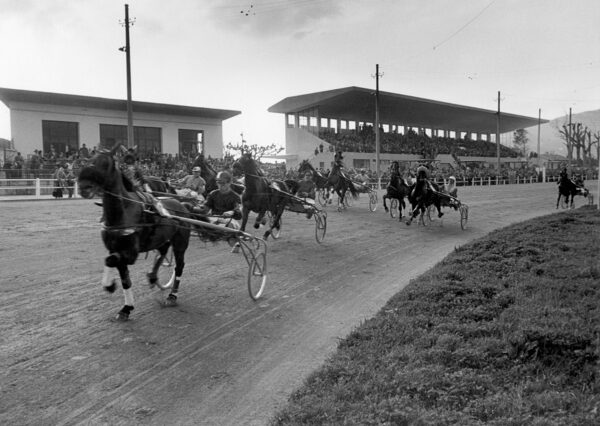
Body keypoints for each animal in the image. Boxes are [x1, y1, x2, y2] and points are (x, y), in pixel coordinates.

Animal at [77, 144, 190, 320]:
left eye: (105, 163)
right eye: (88, 160)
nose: (84, 187)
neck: (124, 212)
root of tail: (181, 205)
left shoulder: (131, 253)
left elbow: (111, 260)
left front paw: (110, 285)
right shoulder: (114, 247)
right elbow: (122, 277)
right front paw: (126, 307)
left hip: (180, 243)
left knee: (179, 267)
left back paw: (172, 296)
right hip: (162, 239)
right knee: (163, 250)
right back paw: (153, 276)